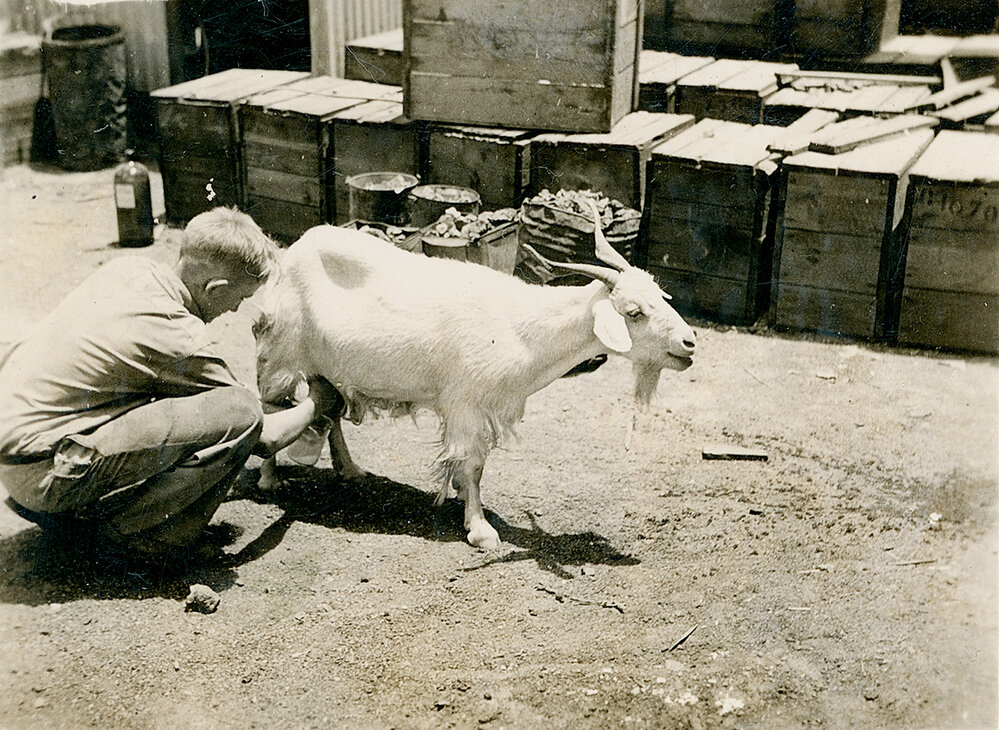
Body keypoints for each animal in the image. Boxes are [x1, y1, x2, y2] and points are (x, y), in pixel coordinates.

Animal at [252, 206, 696, 549]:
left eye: (660, 296)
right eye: (634, 312)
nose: (690, 342)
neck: (520, 327)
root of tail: (290, 254)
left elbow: (472, 465)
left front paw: (467, 502)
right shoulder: (465, 403)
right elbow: (473, 464)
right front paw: (480, 529)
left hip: (327, 366)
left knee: (331, 412)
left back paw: (350, 469)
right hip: (278, 356)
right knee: (270, 408)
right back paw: (270, 480)